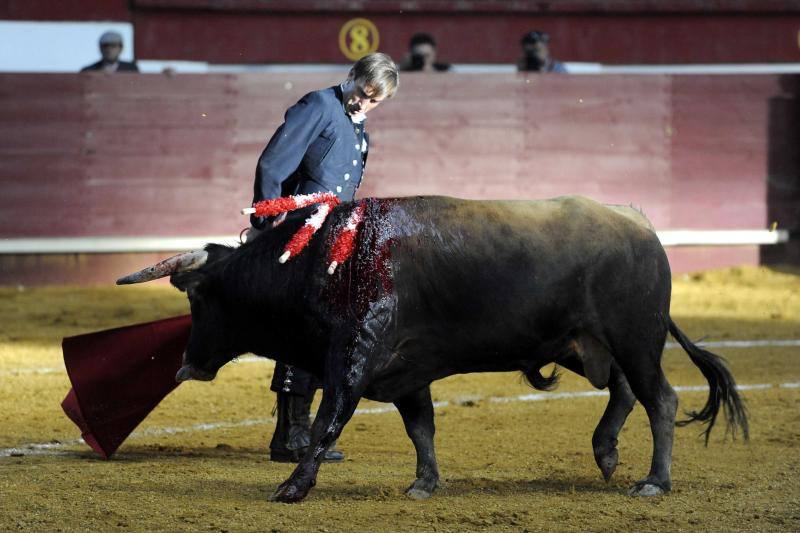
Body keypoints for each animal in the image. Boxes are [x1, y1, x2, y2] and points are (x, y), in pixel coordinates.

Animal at [115, 193, 748, 500]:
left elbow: (327, 422)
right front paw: (424, 483)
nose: (186, 366)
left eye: (199, 297)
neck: (327, 259)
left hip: (635, 336)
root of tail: (639, 222)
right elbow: (421, 427)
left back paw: (653, 482)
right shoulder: (404, 372)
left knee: (659, 398)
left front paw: (292, 486)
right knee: (620, 389)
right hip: (581, 341)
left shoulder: (354, 358)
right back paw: (606, 453)